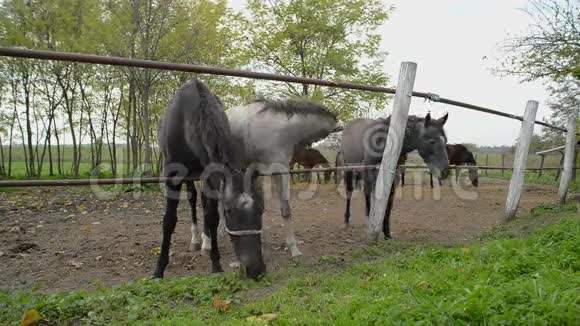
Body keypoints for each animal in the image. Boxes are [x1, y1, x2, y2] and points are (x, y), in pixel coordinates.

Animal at [153, 80, 264, 278]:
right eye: (229, 211)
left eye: (260, 209)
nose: (255, 270)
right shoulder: (171, 175)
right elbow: (169, 221)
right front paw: (159, 270)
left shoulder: (211, 176)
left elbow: (212, 217)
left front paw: (216, 264)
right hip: (188, 177)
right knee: (192, 198)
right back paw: (196, 241)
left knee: (204, 203)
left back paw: (206, 243)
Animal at [193, 98, 336, 258]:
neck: (281, 129)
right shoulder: (275, 170)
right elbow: (284, 208)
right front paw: (294, 250)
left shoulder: (271, 172)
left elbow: (270, 207)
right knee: (207, 206)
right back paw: (206, 244)